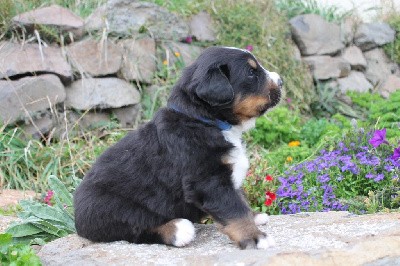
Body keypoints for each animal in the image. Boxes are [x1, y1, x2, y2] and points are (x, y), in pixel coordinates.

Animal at [74, 46, 282, 249]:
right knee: (134, 226)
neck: (202, 120)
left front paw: (255, 216)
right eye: (251, 73)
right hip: (110, 207)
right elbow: (234, 210)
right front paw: (255, 237)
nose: (281, 81)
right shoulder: (208, 181)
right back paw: (177, 230)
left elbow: (240, 200)